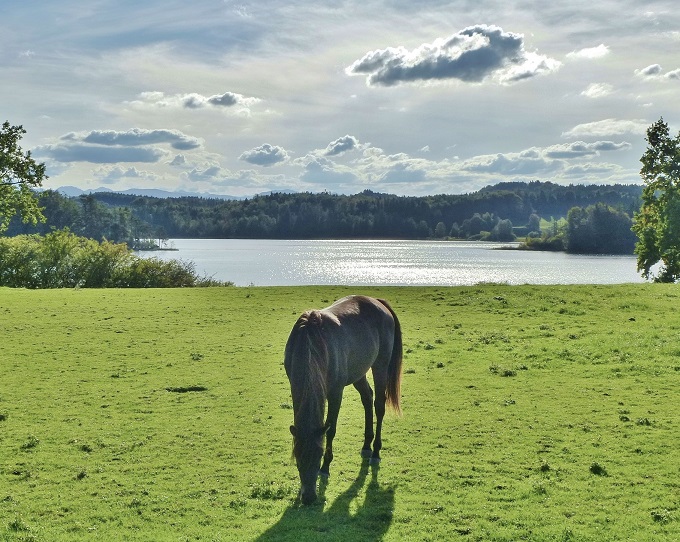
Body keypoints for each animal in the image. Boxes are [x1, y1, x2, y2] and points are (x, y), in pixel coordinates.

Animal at [282, 298, 402, 506]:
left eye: (319, 454)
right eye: (297, 457)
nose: (309, 497)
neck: (310, 342)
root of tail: (378, 302)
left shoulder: (335, 393)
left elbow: (331, 429)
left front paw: (325, 467)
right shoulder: (295, 387)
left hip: (380, 365)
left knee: (379, 405)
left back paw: (376, 452)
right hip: (358, 372)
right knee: (367, 398)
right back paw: (366, 446)